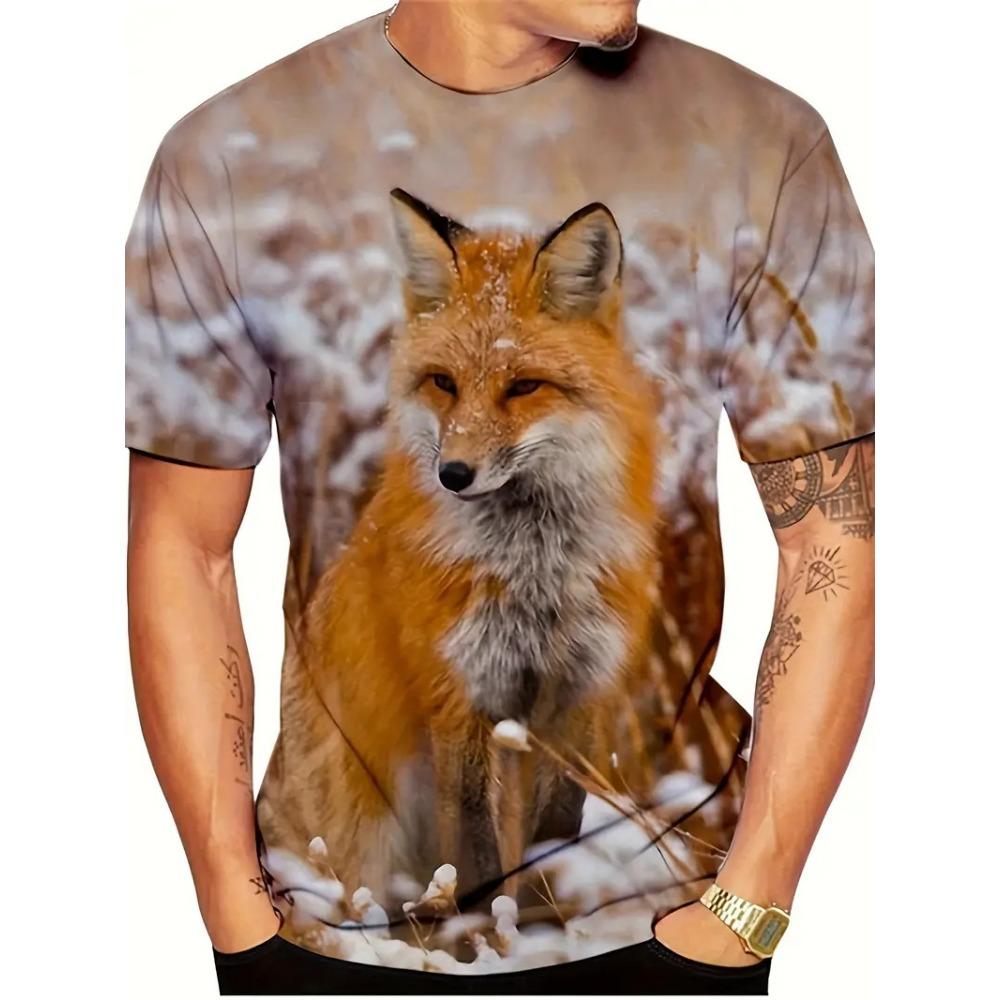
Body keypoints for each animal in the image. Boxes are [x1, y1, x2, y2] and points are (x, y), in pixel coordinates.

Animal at [258, 189, 662, 911]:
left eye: (524, 386)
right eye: (443, 383)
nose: (454, 473)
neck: (534, 571)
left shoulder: (577, 694)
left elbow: (555, 834)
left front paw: (542, 923)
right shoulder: (457, 695)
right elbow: (472, 846)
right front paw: (479, 929)